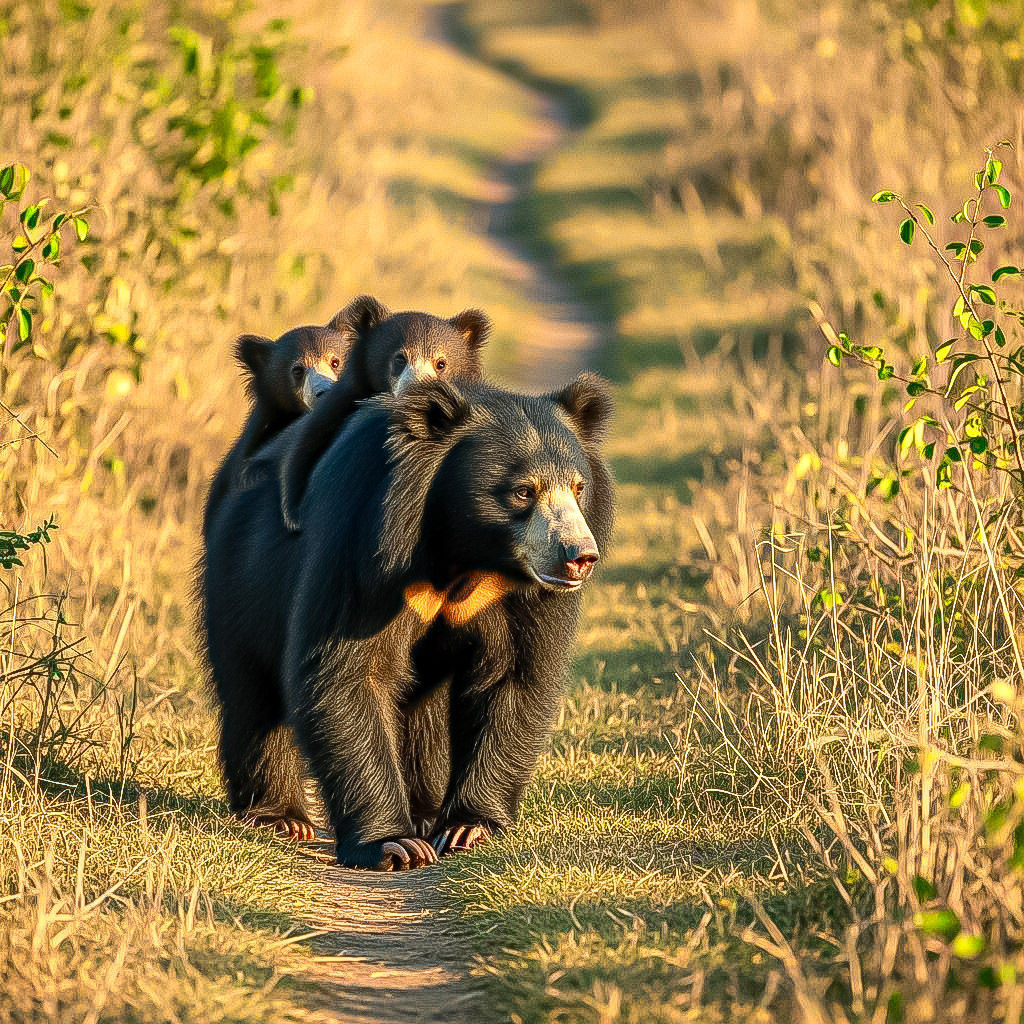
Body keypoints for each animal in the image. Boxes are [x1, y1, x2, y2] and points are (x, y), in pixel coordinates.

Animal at [200, 373, 614, 868]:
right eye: (523, 491)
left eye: (578, 488)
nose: (580, 557)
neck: (463, 550)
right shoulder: (363, 545)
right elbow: (347, 672)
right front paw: (394, 844)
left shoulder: (518, 594)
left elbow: (512, 678)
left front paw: (467, 828)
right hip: (242, 578)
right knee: (252, 692)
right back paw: (280, 817)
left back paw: (424, 812)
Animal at [269, 294, 490, 532]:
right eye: (400, 359)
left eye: (441, 364)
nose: (418, 391)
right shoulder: (346, 398)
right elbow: (310, 440)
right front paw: (294, 516)